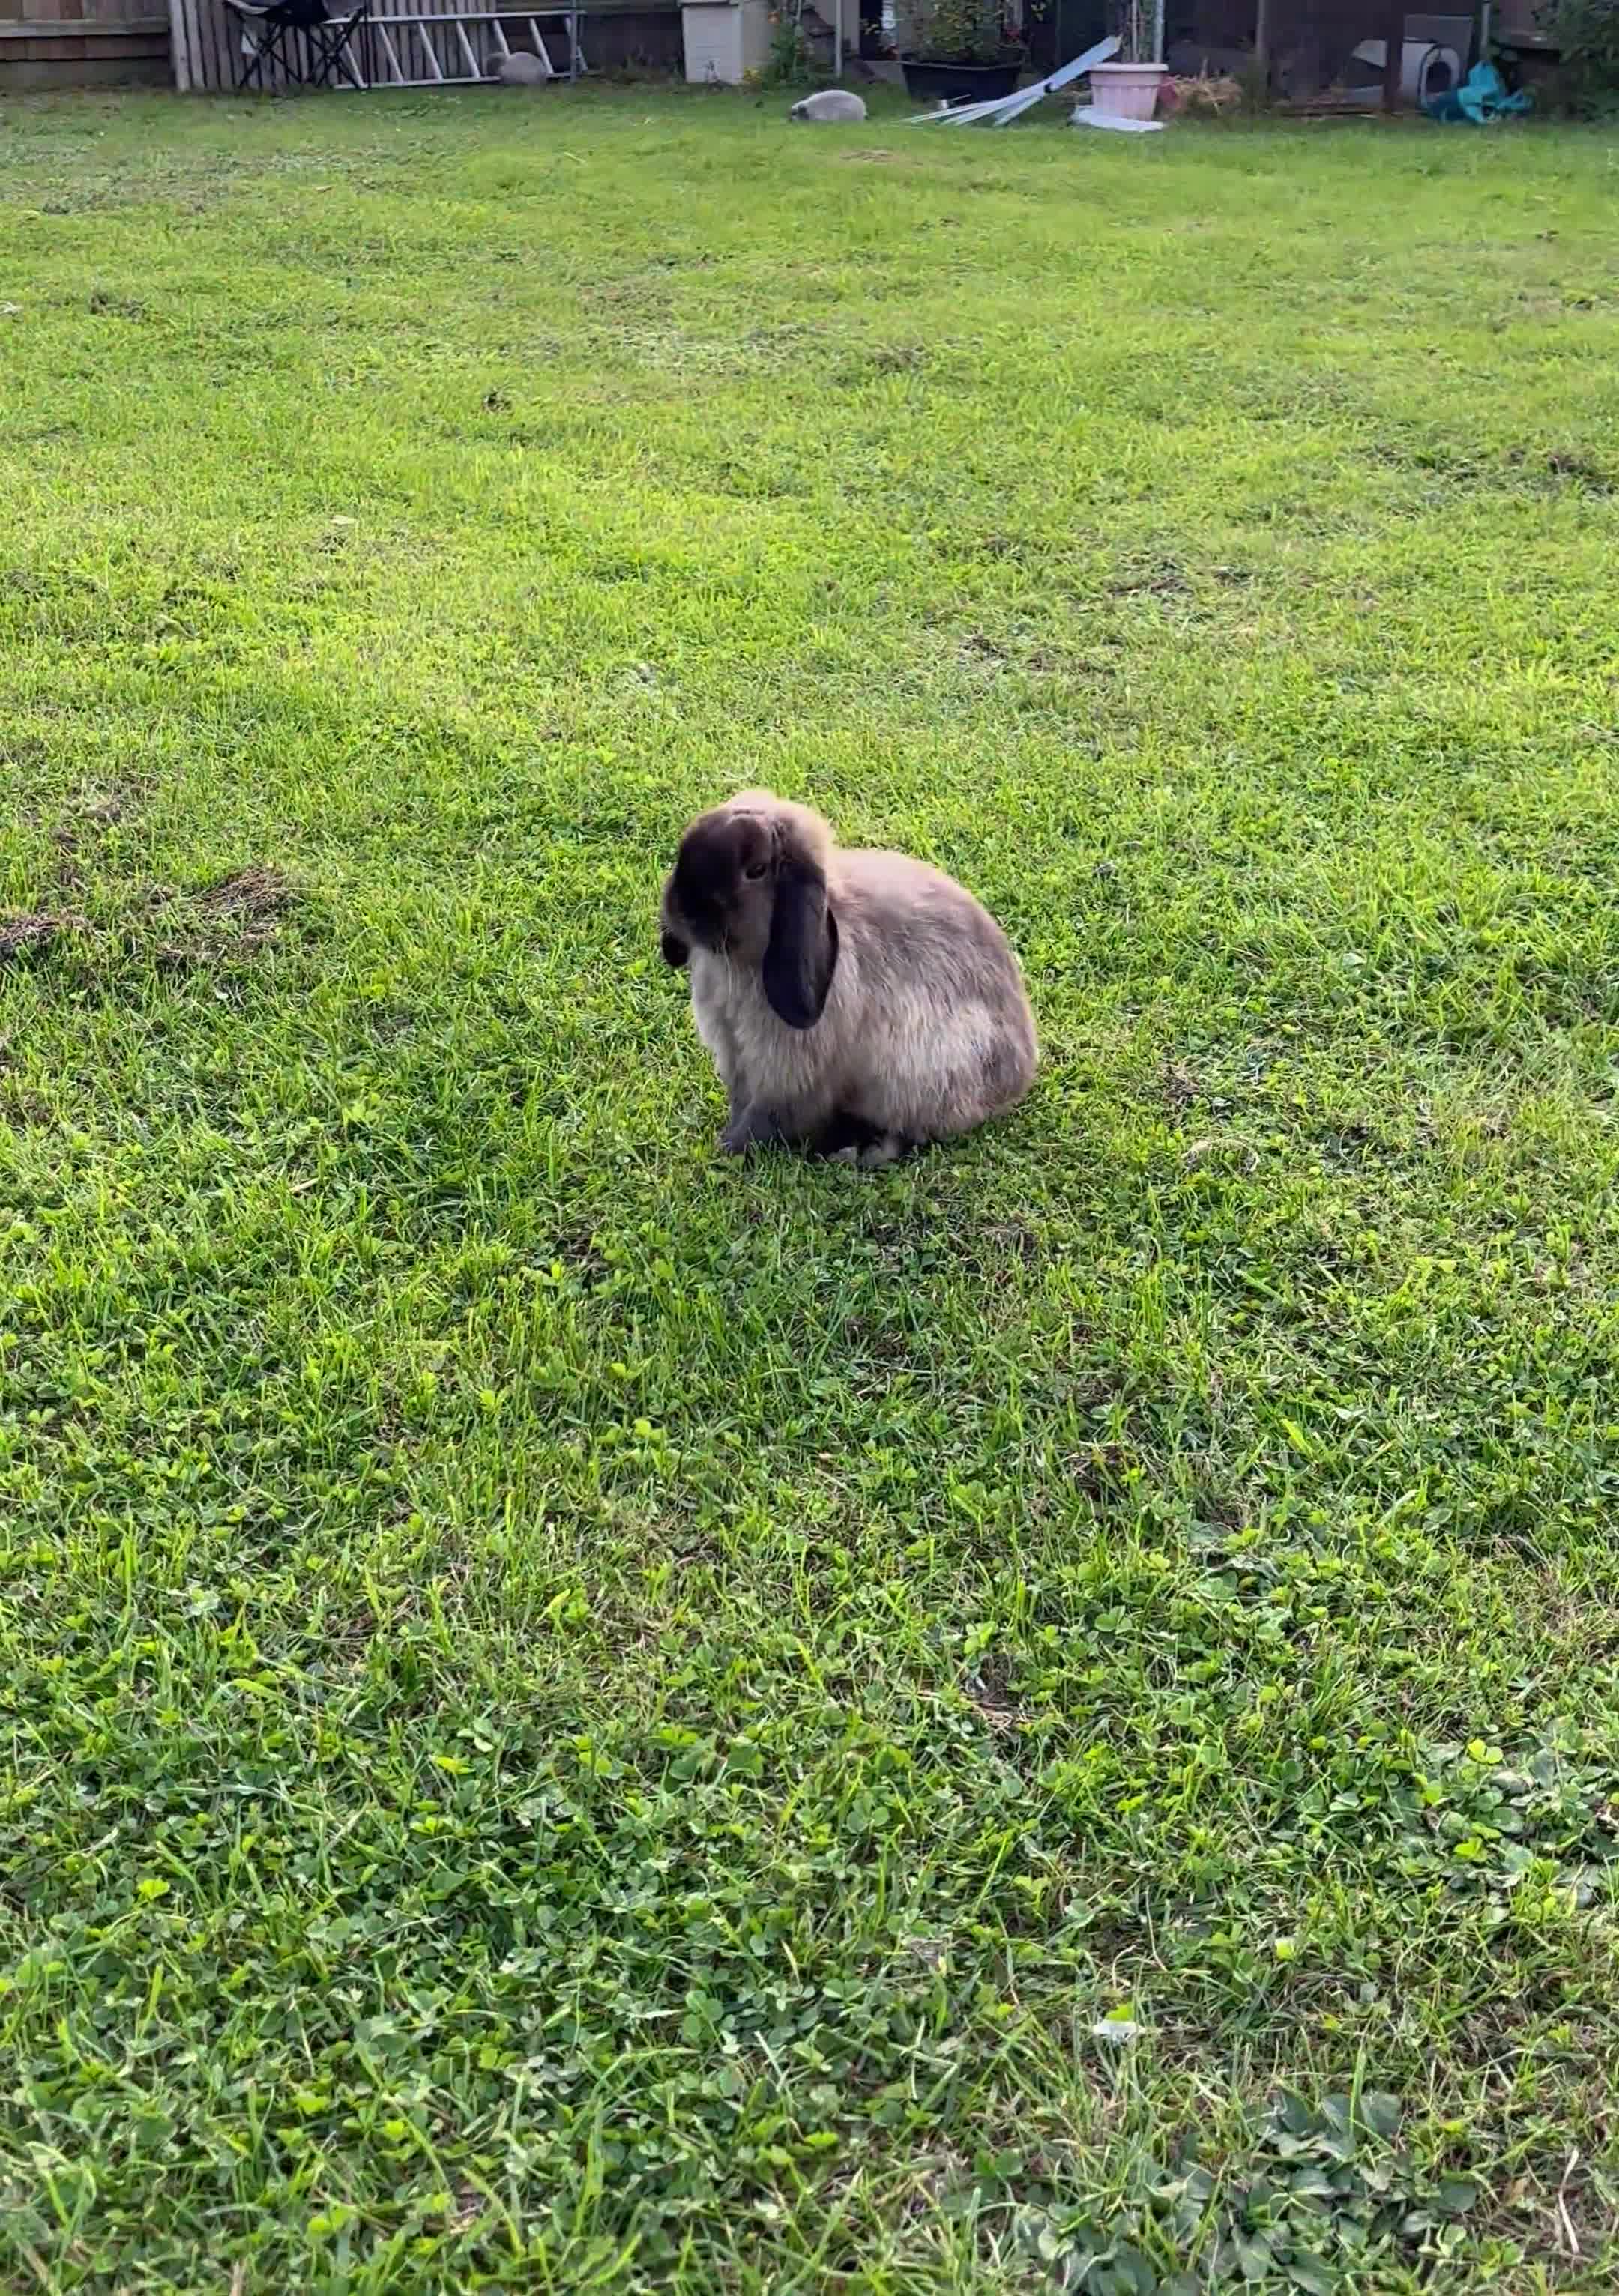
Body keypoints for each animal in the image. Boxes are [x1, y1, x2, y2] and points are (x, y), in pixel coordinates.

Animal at [659, 791, 1036, 1165]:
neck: (743, 963)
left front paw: (727, 1149)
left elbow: (766, 1118)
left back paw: (860, 1152)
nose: (683, 912)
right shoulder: (736, 1059)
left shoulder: (787, 1075)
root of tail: (1018, 1079)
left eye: (756, 870)